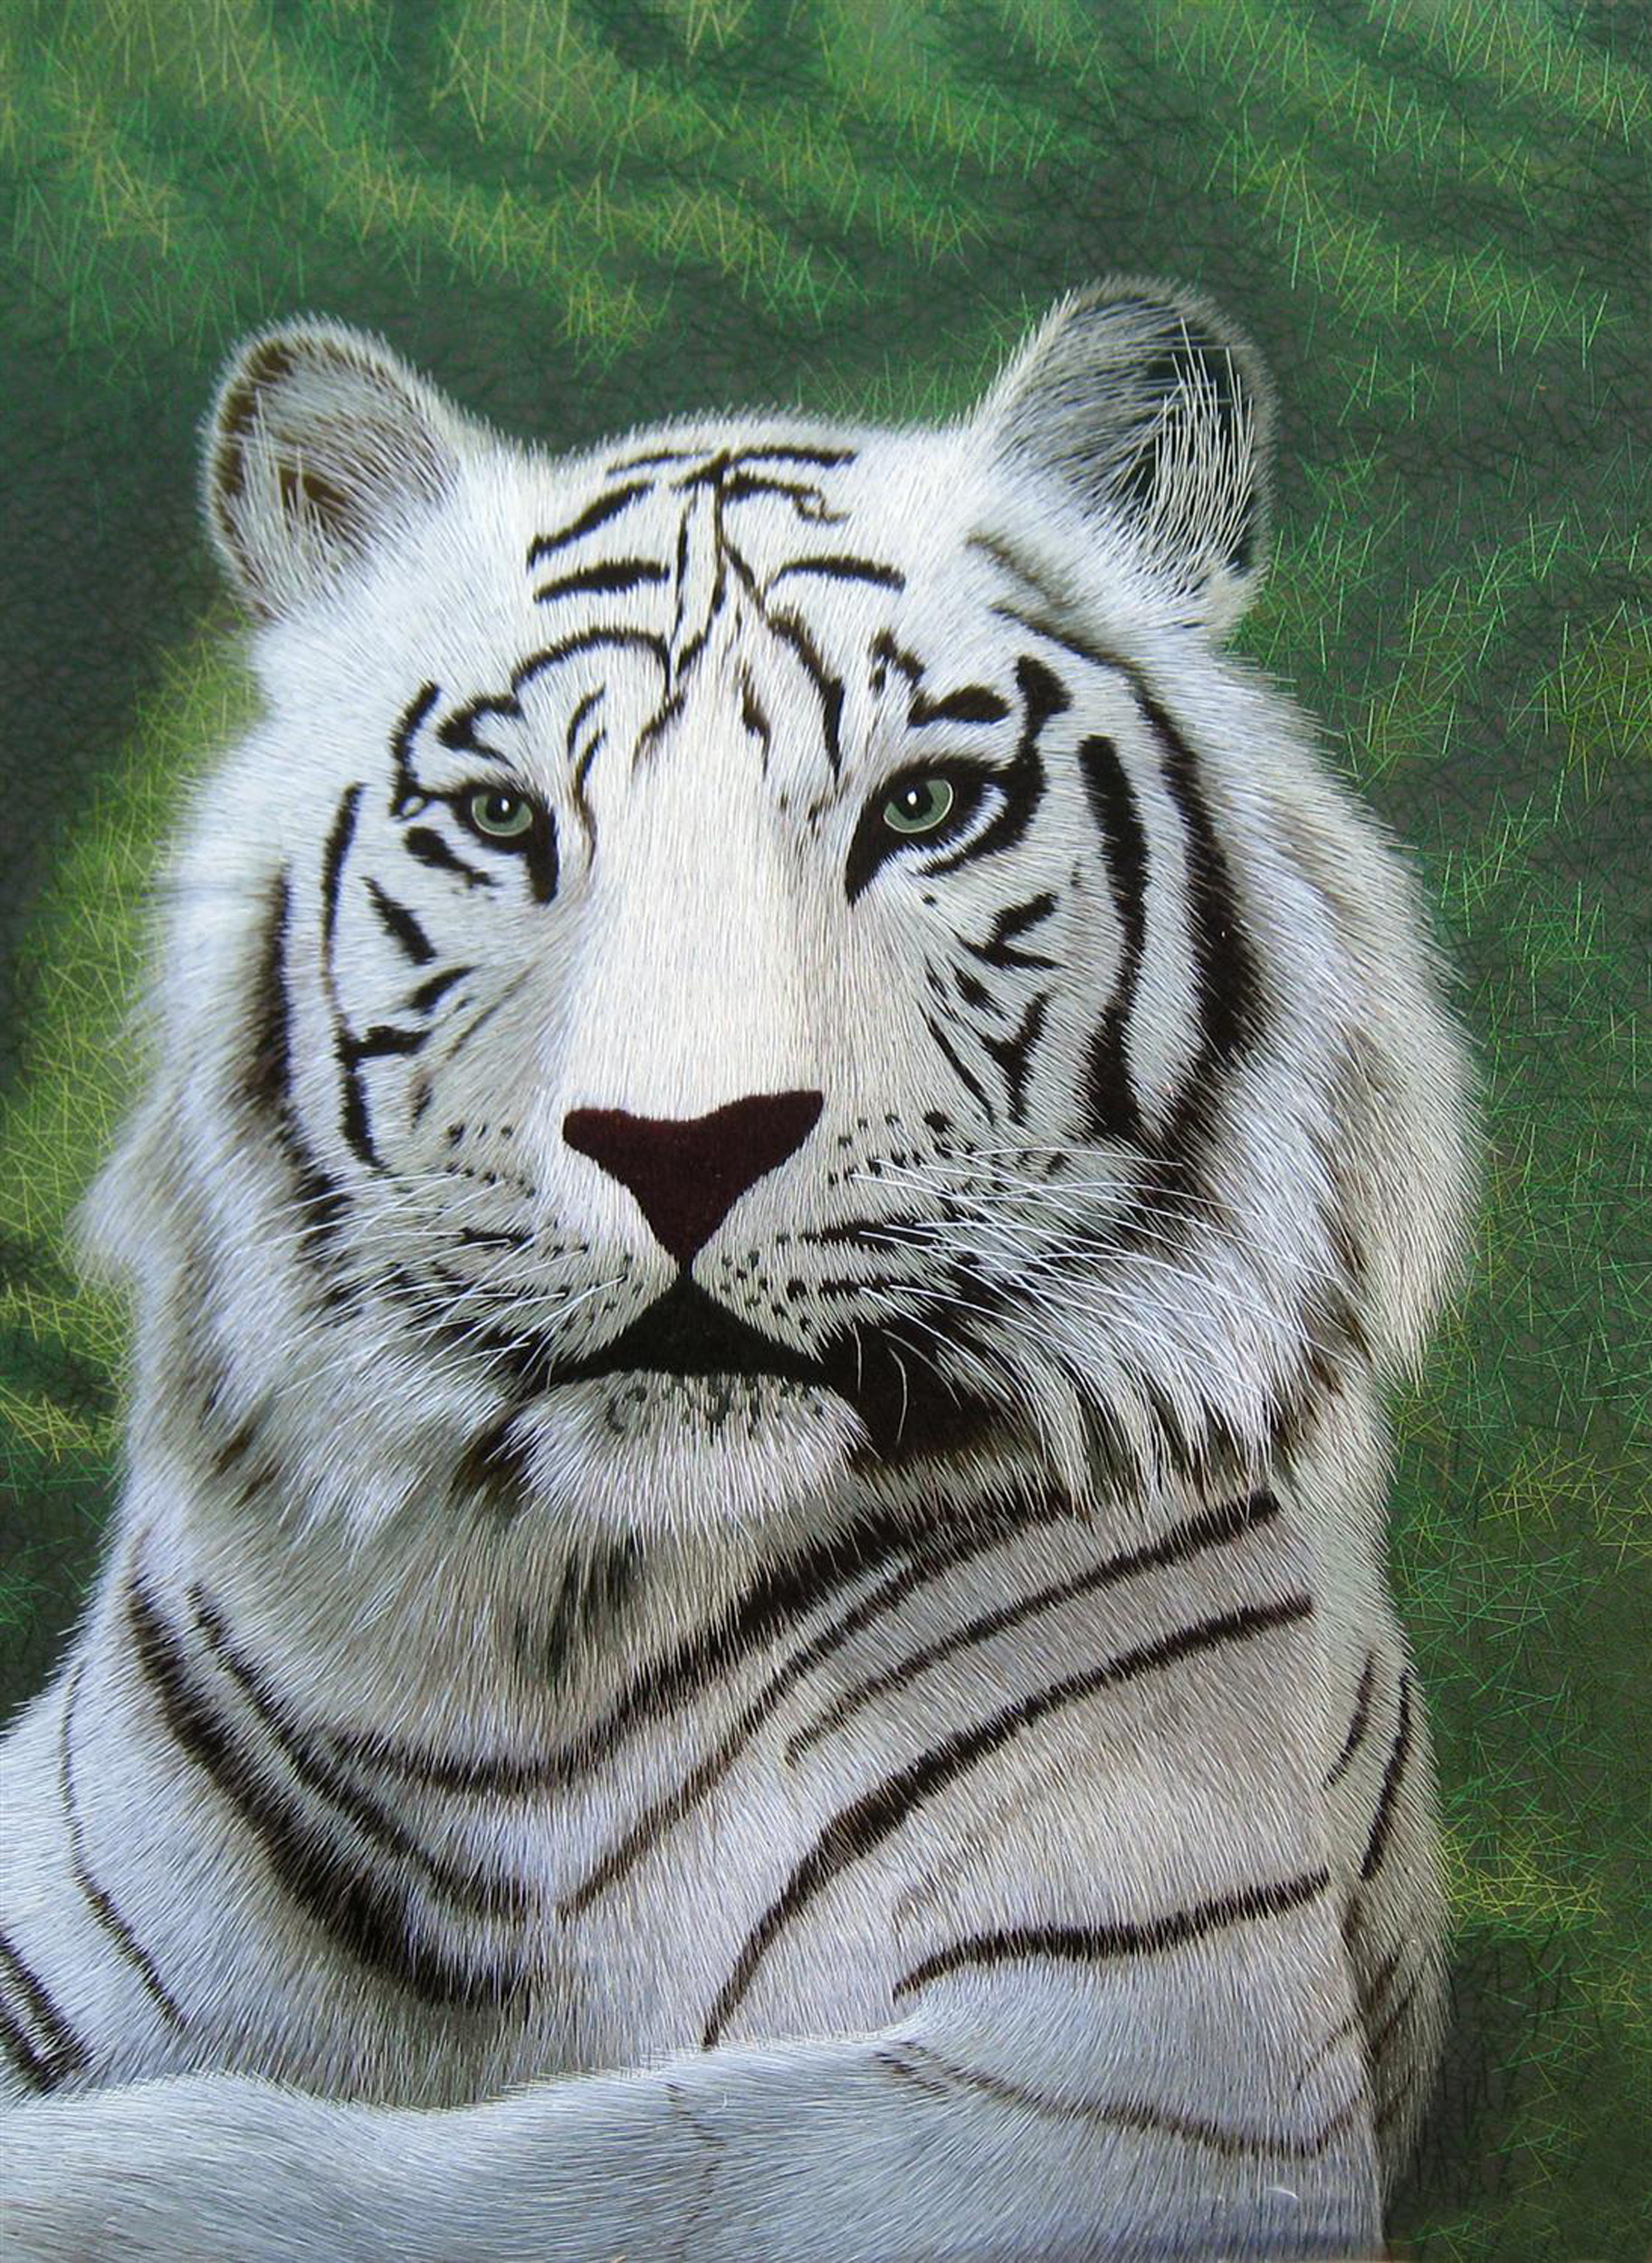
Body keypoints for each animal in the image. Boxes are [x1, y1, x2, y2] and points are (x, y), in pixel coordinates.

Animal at [0, 277, 1476, 2262]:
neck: (559, 1636)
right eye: (502, 820)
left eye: (922, 808)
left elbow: (534, 2172)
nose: (681, 1142)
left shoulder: (1149, 2074)